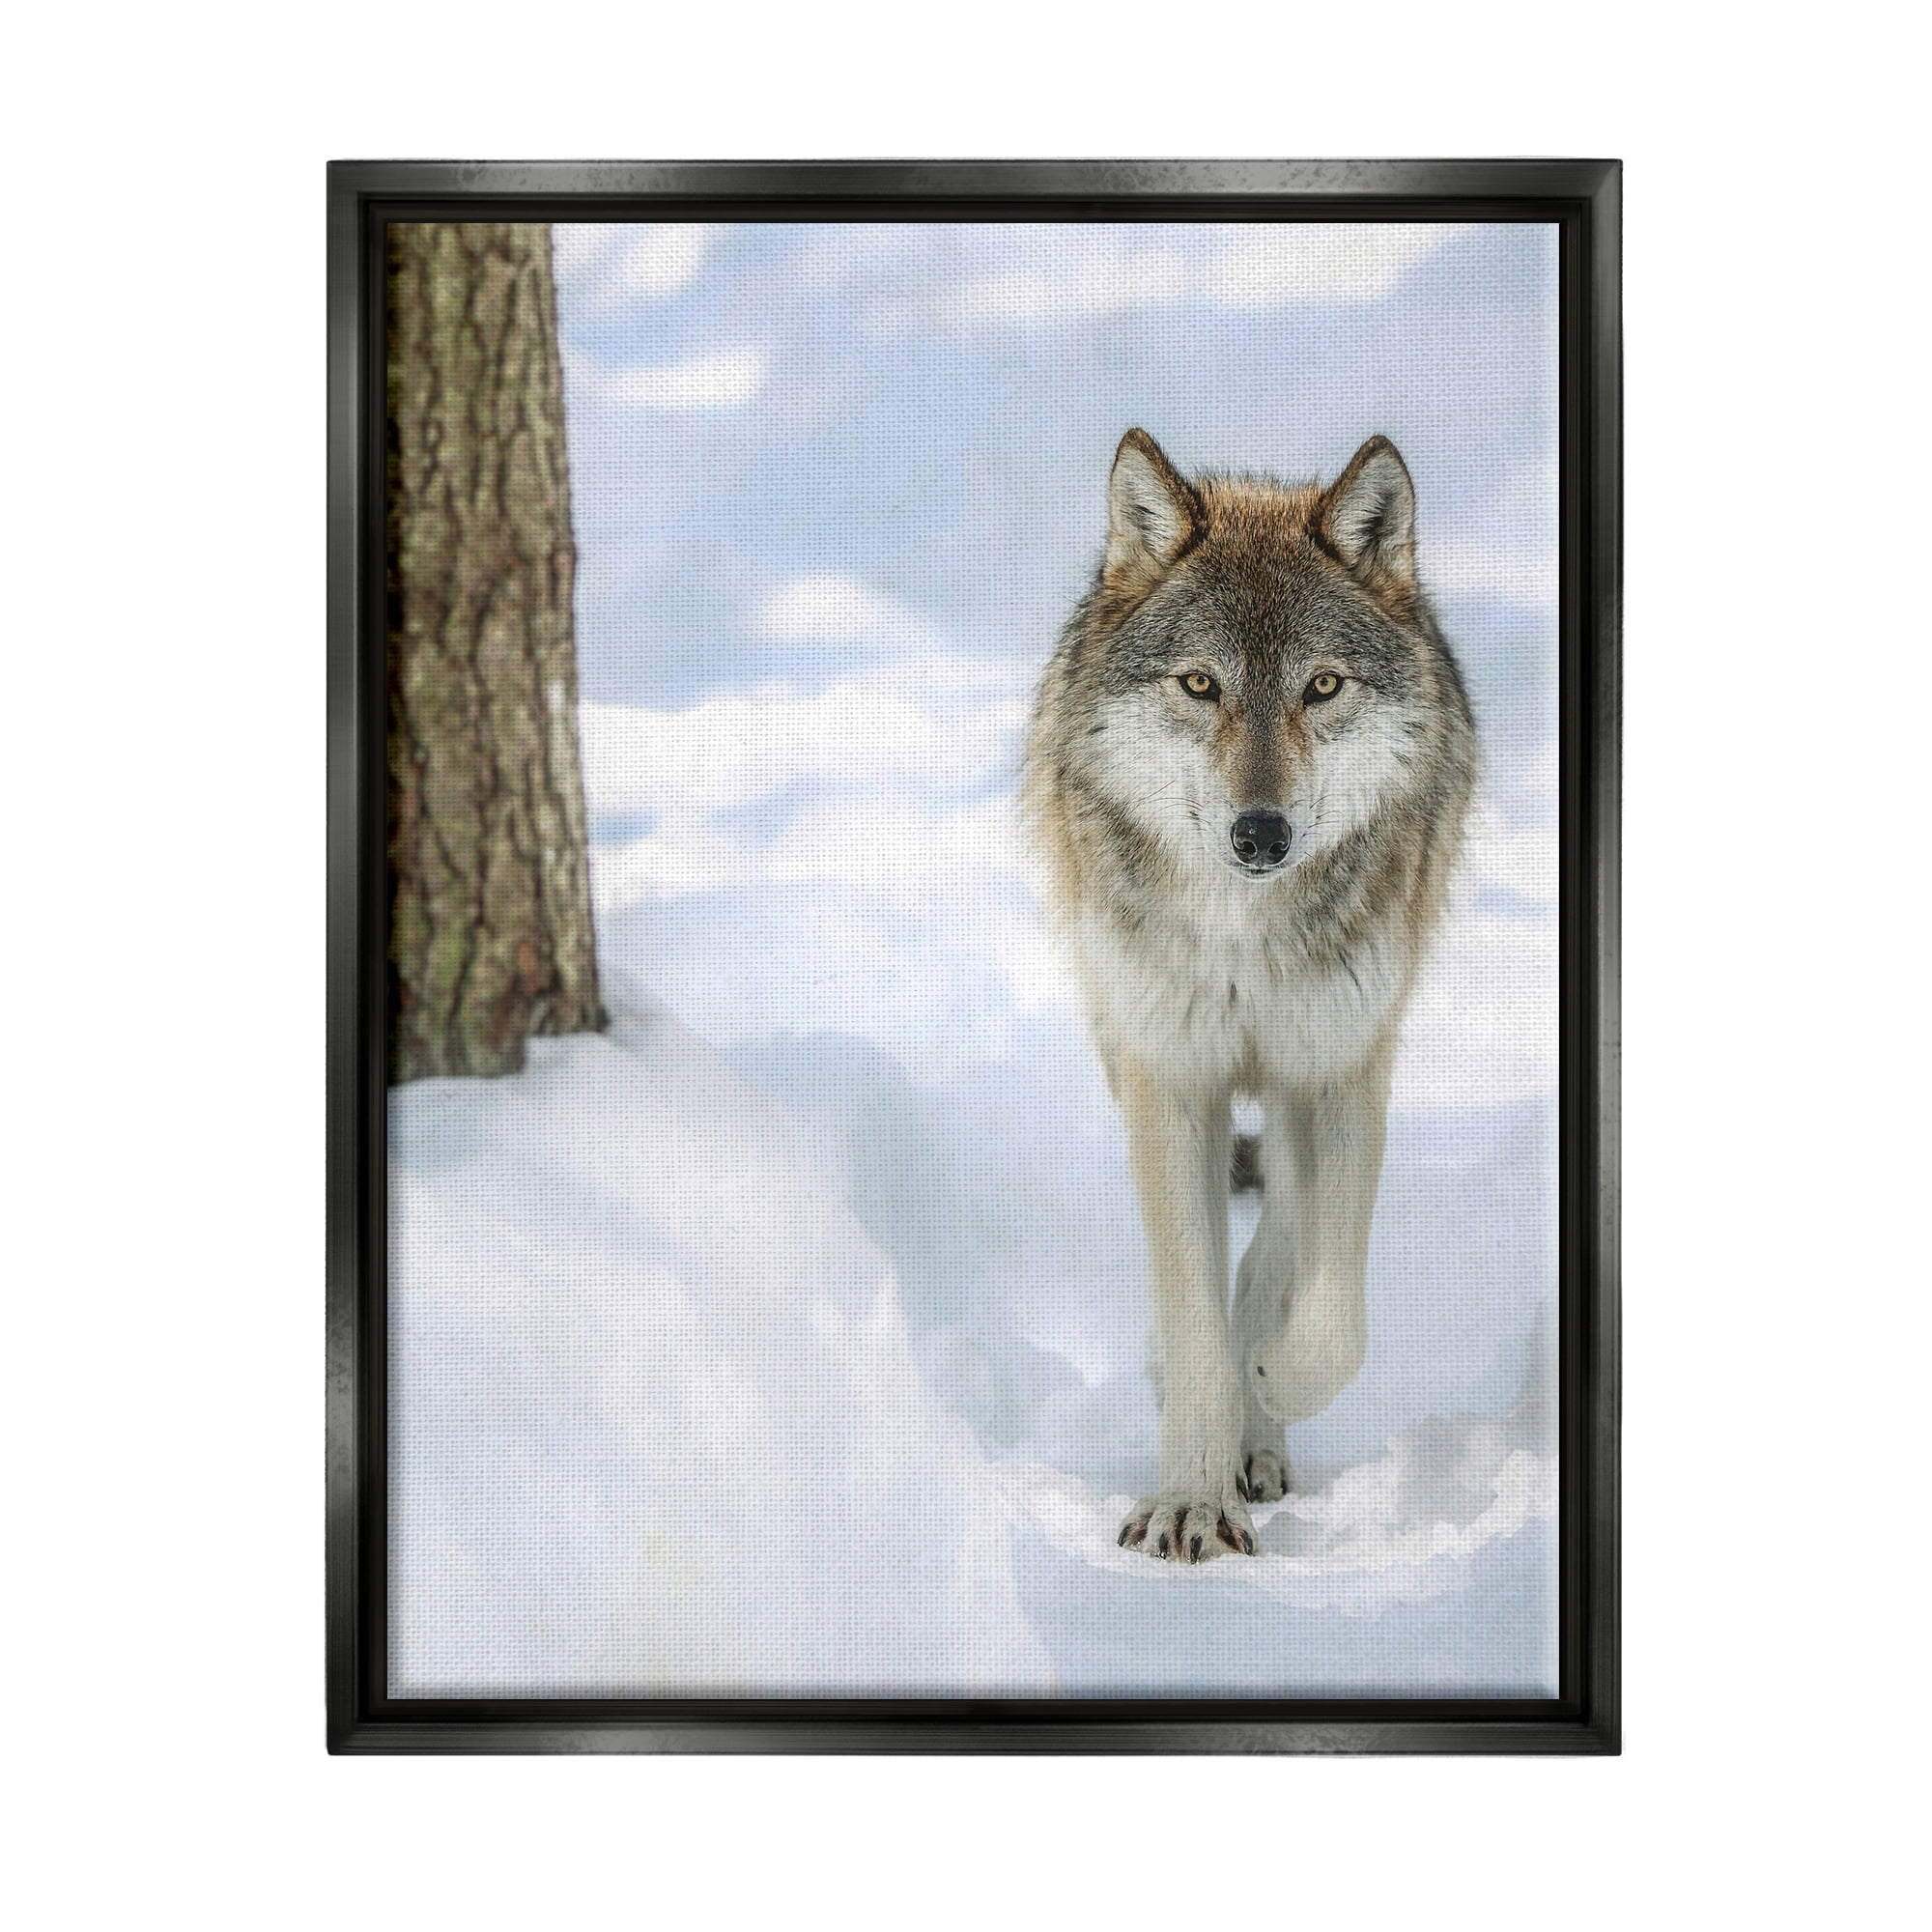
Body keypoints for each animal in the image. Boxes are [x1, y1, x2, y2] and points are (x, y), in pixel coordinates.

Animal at [1020, 429, 1477, 1561]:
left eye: (1321, 685)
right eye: (1199, 684)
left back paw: (1259, 1422)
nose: (1259, 832)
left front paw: (1266, 1385)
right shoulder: (1171, 1080)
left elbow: (1332, 1313)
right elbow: (1190, 1315)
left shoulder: (1342, 1070)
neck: (1245, 937)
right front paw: (1189, 1496)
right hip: (1123, 1040)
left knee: (1282, 1229)